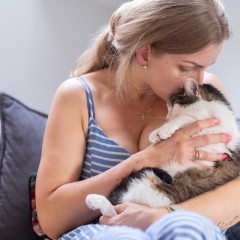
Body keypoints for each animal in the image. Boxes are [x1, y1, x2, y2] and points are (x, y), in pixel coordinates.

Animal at [86, 78, 240, 217]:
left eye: (172, 106)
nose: (166, 117)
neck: (213, 111)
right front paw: (156, 134)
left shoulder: (219, 134)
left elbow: (187, 118)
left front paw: (166, 128)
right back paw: (93, 200)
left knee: (113, 211)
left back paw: (94, 200)